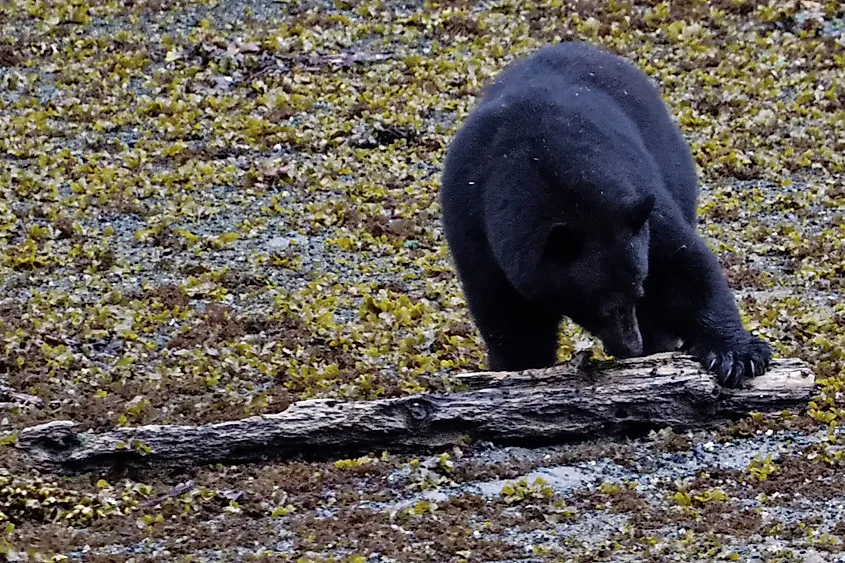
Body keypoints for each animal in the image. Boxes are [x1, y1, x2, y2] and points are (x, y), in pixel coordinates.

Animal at [439, 41, 772, 388]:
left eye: (638, 289)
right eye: (600, 305)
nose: (631, 347)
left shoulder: (635, 199)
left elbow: (682, 265)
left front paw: (737, 354)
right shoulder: (476, 227)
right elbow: (512, 320)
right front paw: (518, 371)